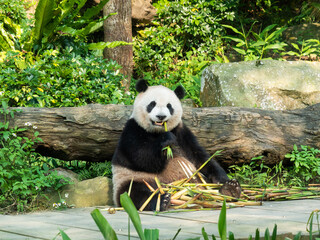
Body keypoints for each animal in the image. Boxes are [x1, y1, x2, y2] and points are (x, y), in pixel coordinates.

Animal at [112, 80, 240, 210]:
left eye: (169, 106)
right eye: (152, 104)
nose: (161, 116)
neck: (157, 131)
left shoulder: (181, 132)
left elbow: (200, 158)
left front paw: (225, 180)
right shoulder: (133, 130)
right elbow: (142, 158)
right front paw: (166, 140)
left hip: (197, 178)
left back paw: (230, 189)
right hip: (133, 178)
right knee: (134, 193)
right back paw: (161, 200)